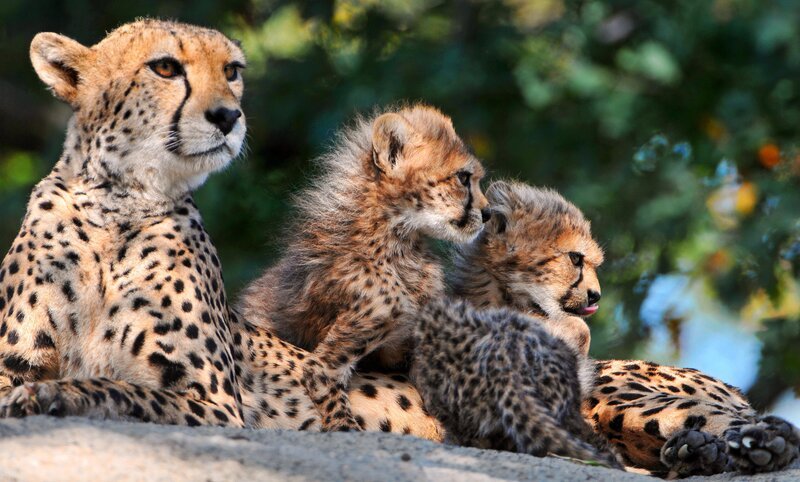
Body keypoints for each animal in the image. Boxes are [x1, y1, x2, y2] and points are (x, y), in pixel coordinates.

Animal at [0, 20, 444, 441]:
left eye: (231, 70)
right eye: (166, 67)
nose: (228, 117)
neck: (119, 207)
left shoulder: (217, 403)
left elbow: (119, 388)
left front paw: (52, 393)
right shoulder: (13, 363)